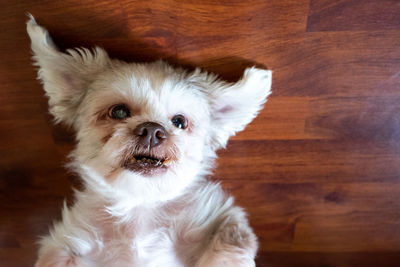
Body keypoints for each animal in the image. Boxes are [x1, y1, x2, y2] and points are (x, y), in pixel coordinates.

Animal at [26, 15, 272, 267]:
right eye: (119, 111)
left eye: (179, 122)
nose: (152, 130)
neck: (140, 208)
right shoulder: (67, 242)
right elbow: (56, 257)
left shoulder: (219, 218)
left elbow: (232, 238)